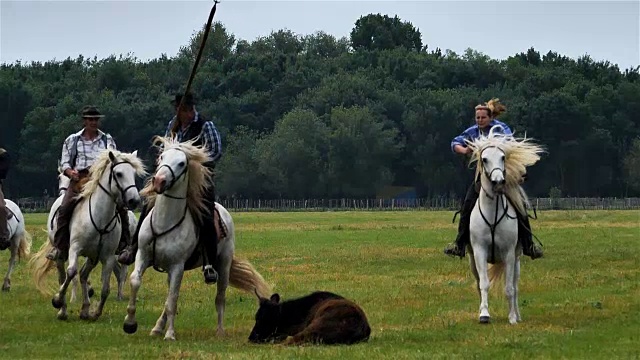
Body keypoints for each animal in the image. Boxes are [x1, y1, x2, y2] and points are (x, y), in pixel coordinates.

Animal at [122, 136, 270, 340]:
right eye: (162, 157)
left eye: (181, 163)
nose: (159, 181)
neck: (165, 223)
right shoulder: (143, 256)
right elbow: (136, 281)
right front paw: (130, 323)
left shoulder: (177, 266)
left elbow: (172, 300)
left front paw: (170, 334)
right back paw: (157, 327)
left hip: (223, 265)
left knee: (220, 297)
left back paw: (219, 331)